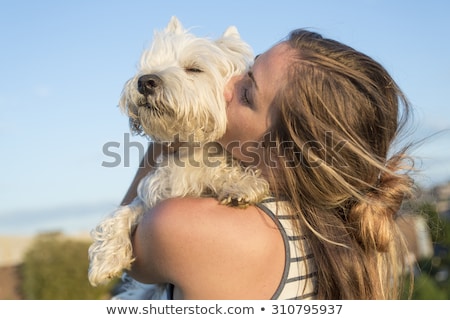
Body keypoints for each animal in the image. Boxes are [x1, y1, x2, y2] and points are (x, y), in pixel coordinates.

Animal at [89, 16, 268, 298]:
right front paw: (106, 259)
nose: (145, 81)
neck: (192, 150)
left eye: (194, 69)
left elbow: (226, 173)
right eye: (150, 64)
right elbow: (123, 213)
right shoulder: (155, 196)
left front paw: (242, 185)